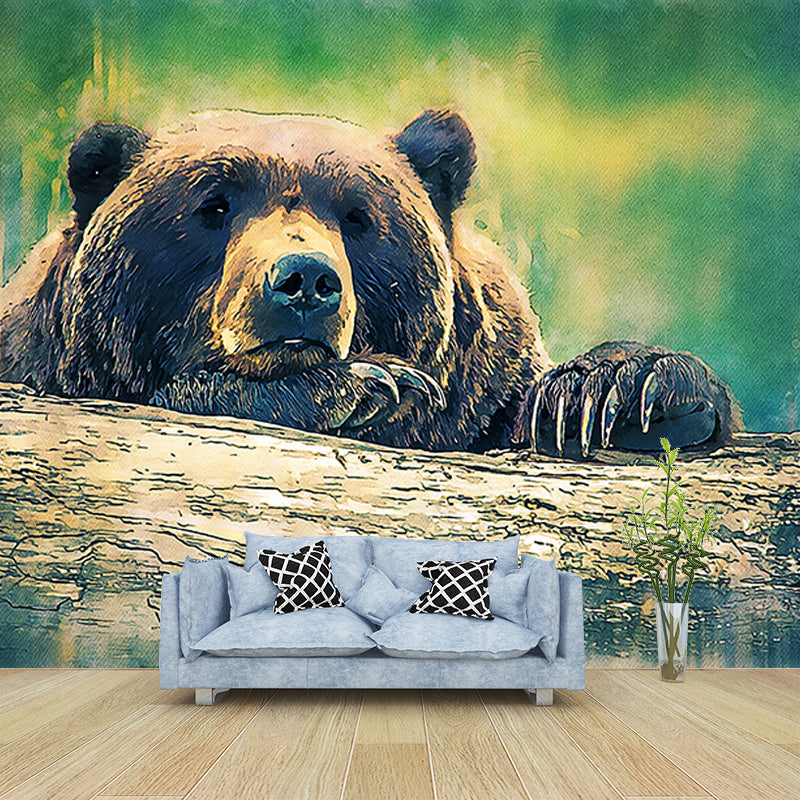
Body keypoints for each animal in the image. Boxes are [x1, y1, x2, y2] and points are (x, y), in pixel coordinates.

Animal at [0, 108, 741, 457]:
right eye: (212, 205)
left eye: (357, 216)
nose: (304, 280)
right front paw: (367, 384)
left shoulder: (483, 388)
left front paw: (621, 394)